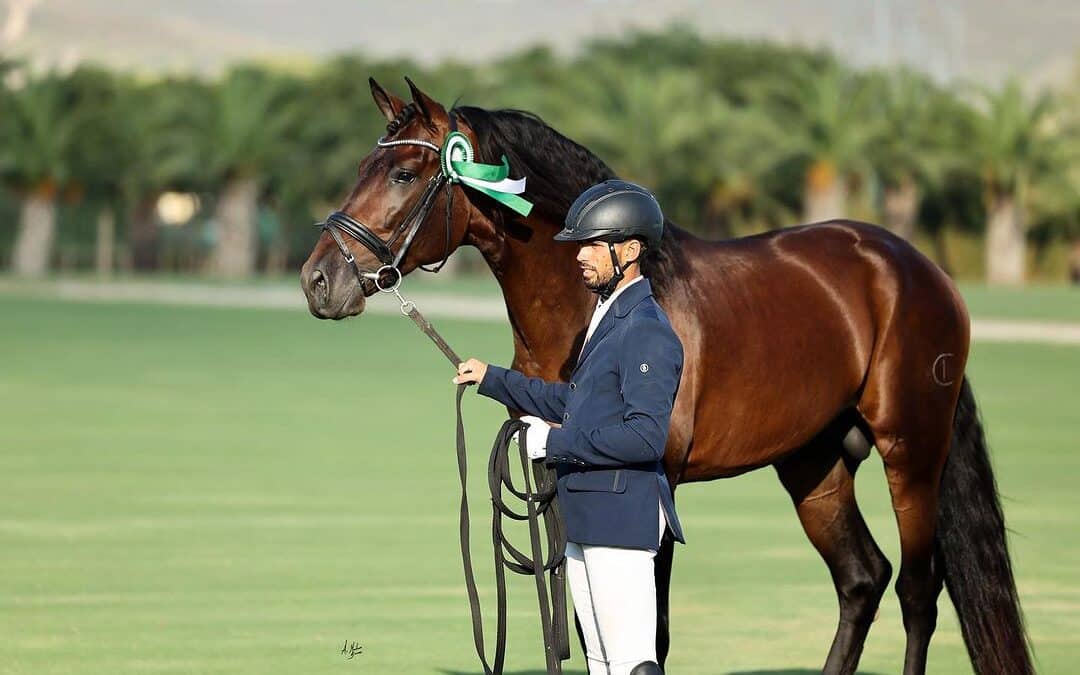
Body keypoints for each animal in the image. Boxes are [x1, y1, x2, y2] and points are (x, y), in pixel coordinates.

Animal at [300, 76, 1032, 669]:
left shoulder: (654, 488)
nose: (318, 280)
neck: (593, 306)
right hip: (813, 463)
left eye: (402, 174)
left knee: (917, 590)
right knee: (862, 578)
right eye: (364, 166)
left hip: (912, 452)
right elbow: (583, 626)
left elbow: (646, 636)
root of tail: (918, 268)